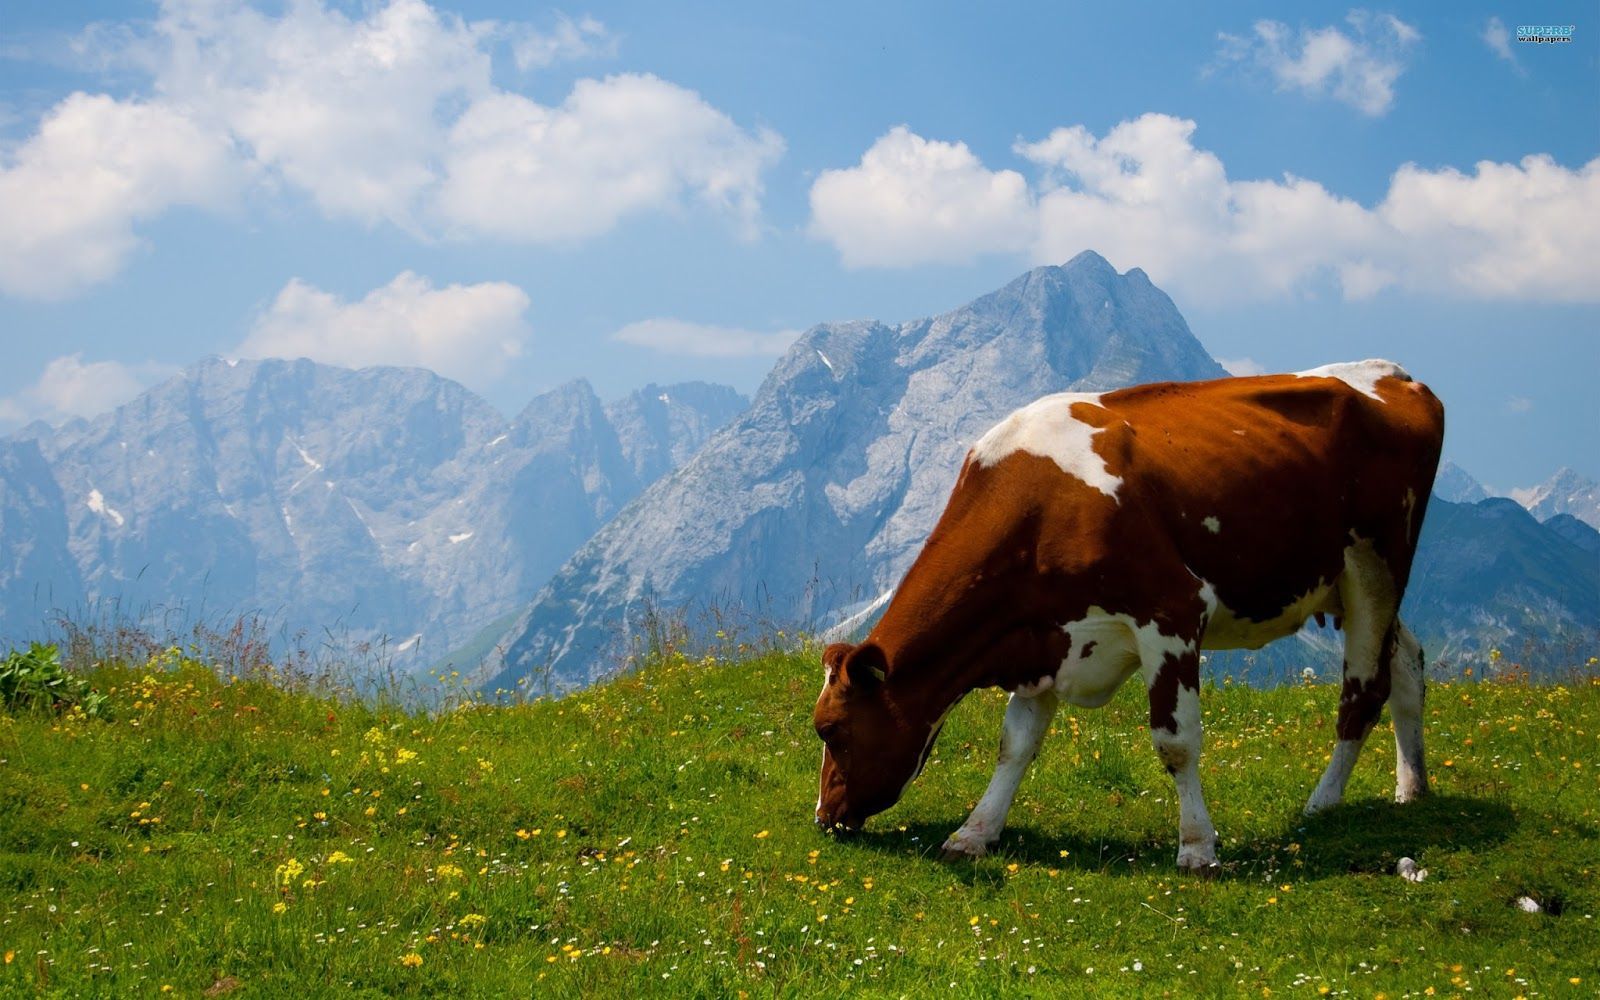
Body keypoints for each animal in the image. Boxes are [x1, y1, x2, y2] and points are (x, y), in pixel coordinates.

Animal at [812, 360, 1444, 872]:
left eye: (830, 730)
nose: (824, 817)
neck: (1040, 505)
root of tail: (1396, 374)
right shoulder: (1043, 637)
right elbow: (1015, 743)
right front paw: (974, 833)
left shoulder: (1172, 612)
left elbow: (1176, 740)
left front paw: (1198, 848)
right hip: (1343, 587)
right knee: (1407, 664)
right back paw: (1411, 786)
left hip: (1377, 568)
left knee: (1362, 692)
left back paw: (1323, 802)